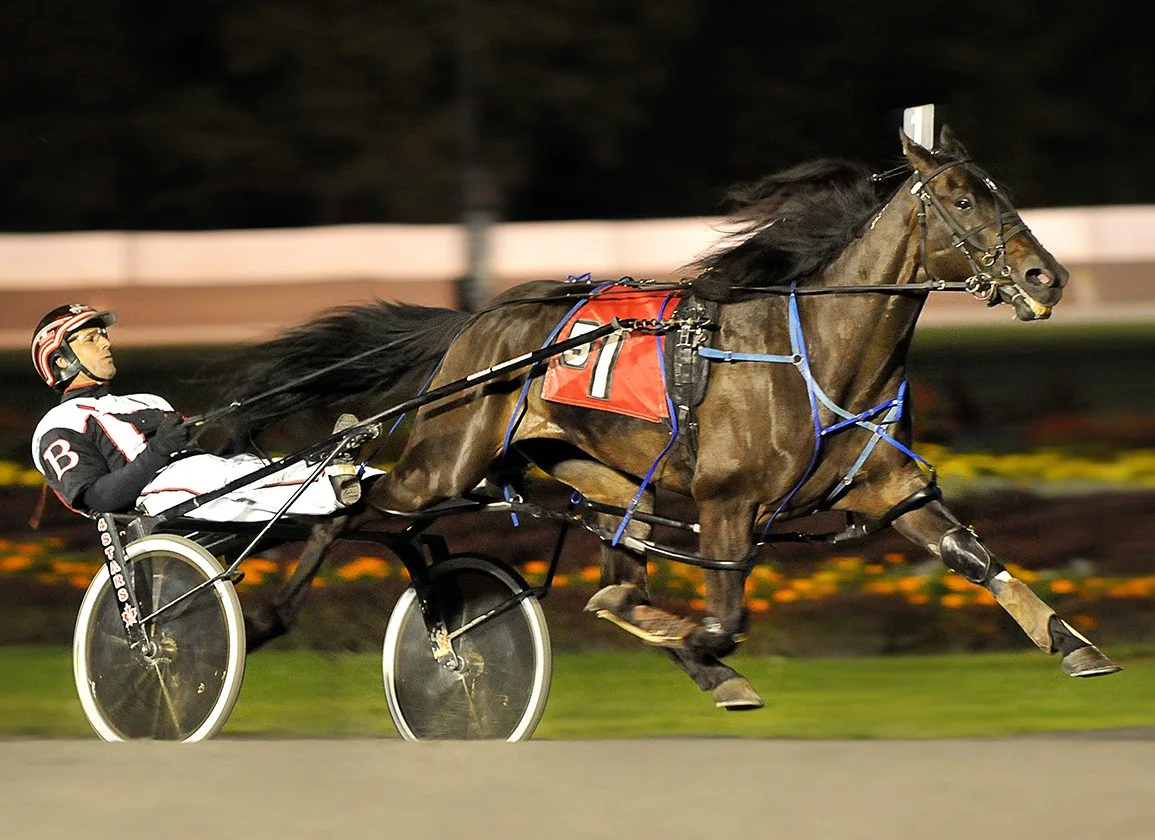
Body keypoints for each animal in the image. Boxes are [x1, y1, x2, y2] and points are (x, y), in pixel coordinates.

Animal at [219, 125, 1120, 709]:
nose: (1046, 277)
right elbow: (723, 620)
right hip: (445, 457)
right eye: (962, 199)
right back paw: (259, 615)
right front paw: (696, 648)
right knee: (349, 510)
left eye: (1000, 192)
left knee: (574, 559)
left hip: (615, 482)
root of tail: (477, 319)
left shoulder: (885, 485)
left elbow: (973, 556)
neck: (819, 350)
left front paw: (1075, 645)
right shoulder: (726, 503)